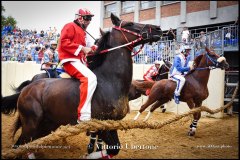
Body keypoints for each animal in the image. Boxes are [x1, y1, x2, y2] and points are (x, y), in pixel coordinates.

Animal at [1, 13, 163, 158]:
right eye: (129, 24)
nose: (158, 29)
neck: (110, 81)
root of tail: (26, 89)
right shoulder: (101, 125)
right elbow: (104, 147)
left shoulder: (112, 124)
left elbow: (111, 149)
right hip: (31, 125)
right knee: (19, 146)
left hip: (46, 125)